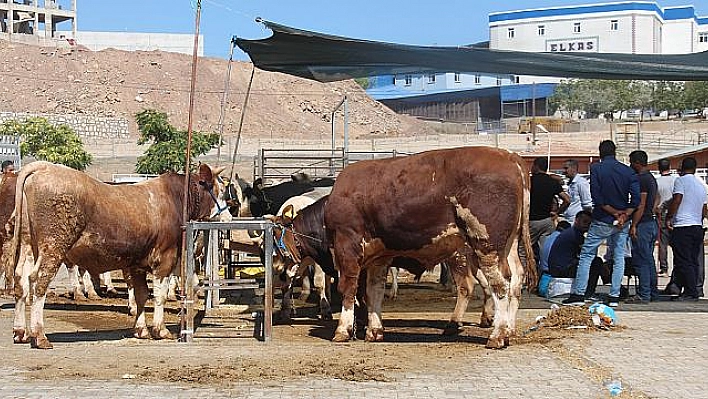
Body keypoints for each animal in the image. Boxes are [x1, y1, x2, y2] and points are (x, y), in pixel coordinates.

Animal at [6, 161, 228, 348]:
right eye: (222, 191)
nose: (228, 216)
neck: (176, 199)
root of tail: (42, 166)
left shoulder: (137, 264)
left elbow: (141, 295)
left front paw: (141, 330)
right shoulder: (165, 258)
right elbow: (160, 295)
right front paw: (161, 330)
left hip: (28, 244)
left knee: (21, 280)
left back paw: (20, 332)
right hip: (53, 245)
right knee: (38, 281)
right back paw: (39, 336)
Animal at [324, 146, 532, 346]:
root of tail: (509, 156)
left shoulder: (346, 244)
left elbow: (348, 287)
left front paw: (342, 330)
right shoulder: (380, 255)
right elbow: (374, 290)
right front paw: (374, 331)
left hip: (486, 245)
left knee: (499, 284)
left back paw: (497, 335)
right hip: (508, 245)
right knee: (514, 279)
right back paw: (507, 331)